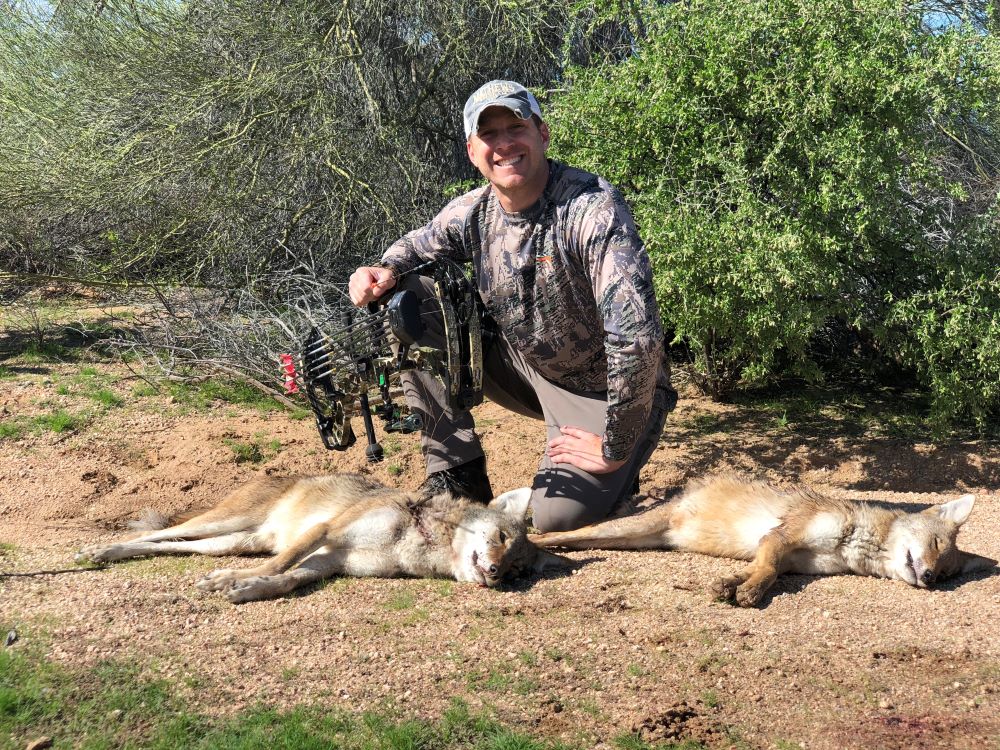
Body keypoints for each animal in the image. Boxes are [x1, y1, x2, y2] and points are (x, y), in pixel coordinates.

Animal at [77, 474, 567, 603]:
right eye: (499, 536)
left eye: (517, 571)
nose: (495, 574)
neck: (419, 540)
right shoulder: (326, 532)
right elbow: (280, 565)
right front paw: (234, 582)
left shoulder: (332, 561)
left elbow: (285, 578)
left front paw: (246, 588)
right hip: (219, 525)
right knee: (157, 533)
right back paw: (100, 549)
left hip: (231, 541)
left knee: (167, 546)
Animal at [530, 474, 995, 607]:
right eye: (934, 546)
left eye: (948, 573)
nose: (931, 579)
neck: (850, 542)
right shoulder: (780, 537)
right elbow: (766, 572)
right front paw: (748, 592)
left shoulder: (782, 555)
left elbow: (762, 571)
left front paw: (735, 586)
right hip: (615, 531)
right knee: (561, 535)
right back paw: (537, 543)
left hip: (639, 540)